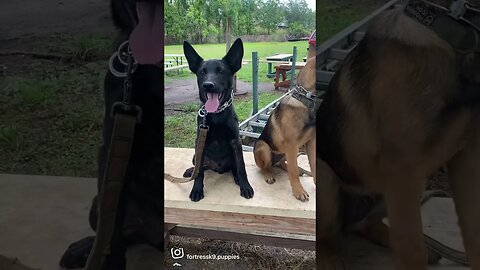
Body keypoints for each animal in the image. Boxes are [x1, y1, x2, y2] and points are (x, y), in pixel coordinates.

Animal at [181, 39, 255, 201]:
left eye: (221, 71)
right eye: (202, 72)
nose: (208, 85)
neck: (216, 115)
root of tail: (216, 167)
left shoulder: (236, 141)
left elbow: (241, 167)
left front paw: (245, 186)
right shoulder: (200, 141)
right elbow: (199, 173)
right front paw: (196, 189)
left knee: (234, 167)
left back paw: (236, 178)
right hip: (196, 155)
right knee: (200, 167)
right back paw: (190, 170)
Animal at [253, 56, 316, 200]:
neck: (305, 101)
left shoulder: (311, 143)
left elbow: (313, 167)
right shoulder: (292, 146)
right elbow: (293, 171)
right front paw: (299, 191)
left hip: (290, 152)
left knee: (283, 164)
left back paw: (299, 170)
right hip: (263, 146)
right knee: (266, 167)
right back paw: (269, 175)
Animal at [316, 1, 478, 268]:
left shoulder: (466, 160)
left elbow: (474, 237)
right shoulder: (404, 171)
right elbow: (412, 251)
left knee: (368, 225)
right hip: (327, 176)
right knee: (325, 237)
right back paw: (333, 260)